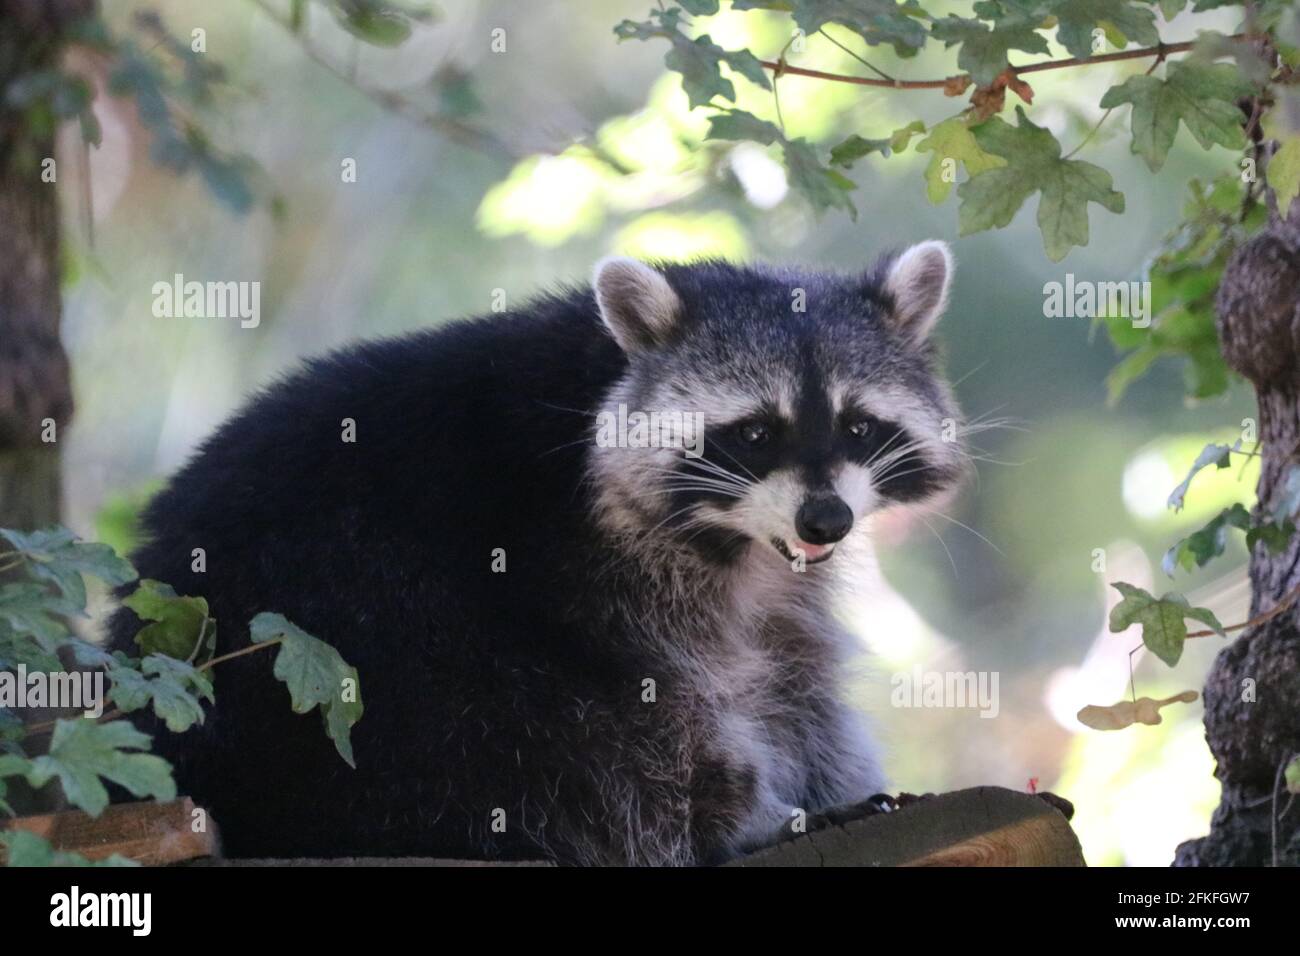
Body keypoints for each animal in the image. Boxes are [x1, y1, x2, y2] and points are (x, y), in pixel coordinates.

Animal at [109, 240, 967, 868]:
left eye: (860, 426)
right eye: (756, 432)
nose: (826, 520)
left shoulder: (777, 566)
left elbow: (791, 670)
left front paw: (827, 777)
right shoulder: (575, 551)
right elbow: (669, 701)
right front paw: (756, 807)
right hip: (343, 640)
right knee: (540, 725)